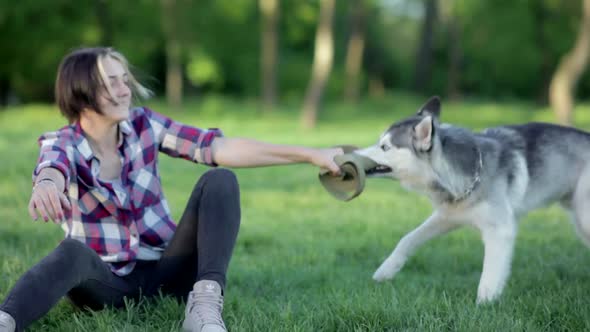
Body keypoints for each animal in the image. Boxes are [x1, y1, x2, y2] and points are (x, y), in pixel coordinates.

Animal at [358, 96, 590, 304]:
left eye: (385, 147)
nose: (355, 152)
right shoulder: (448, 216)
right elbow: (408, 239)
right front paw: (386, 270)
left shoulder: (500, 231)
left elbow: (490, 274)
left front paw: (484, 304)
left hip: (584, 217)